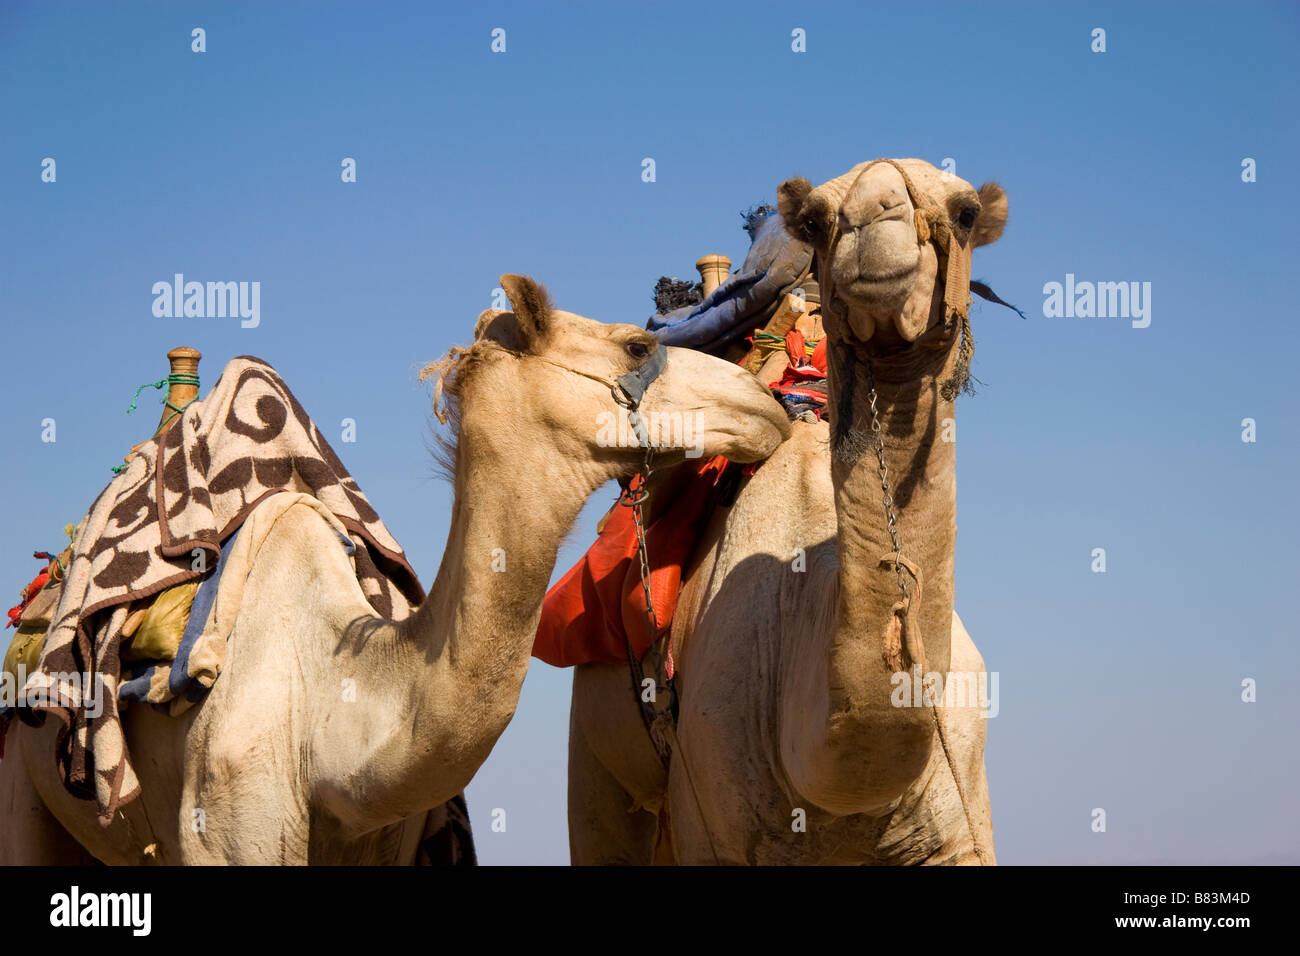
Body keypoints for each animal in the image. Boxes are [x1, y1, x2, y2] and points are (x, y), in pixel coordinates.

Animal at [566, 158, 1003, 868]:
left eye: (965, 213)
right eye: (818, 221)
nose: (878, 219)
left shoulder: (959, 822)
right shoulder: (713, 825)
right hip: (597, 752)